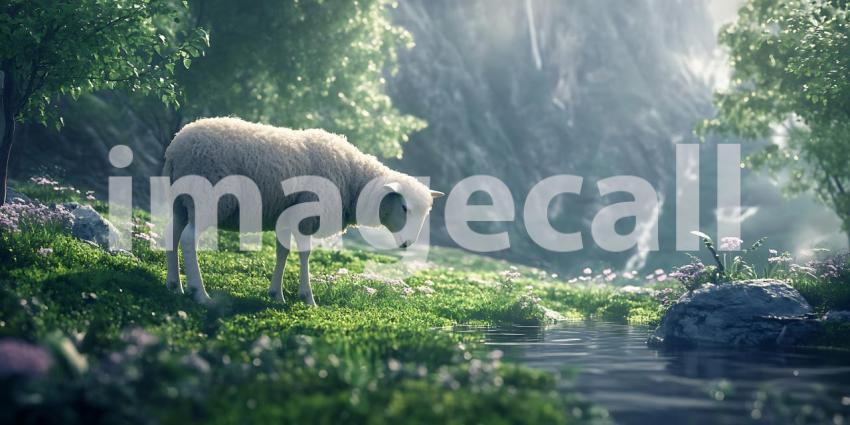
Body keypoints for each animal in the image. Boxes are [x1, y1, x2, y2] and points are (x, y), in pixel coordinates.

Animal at [162, 117, 443, 305]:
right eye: (404, 207)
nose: (408, 244)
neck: (353, 177)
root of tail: (177, 146)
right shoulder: (305, 215)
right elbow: (305, 254)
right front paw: (307, 298)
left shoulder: (285, 217)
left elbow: (282, 253)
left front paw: (276, 295)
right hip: (206, 197)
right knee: (188, 238)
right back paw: (200, 293)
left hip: (181, 201)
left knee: (172, 235)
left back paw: (174, 285)